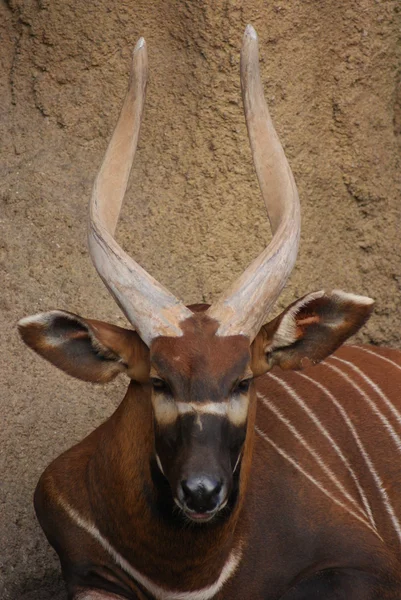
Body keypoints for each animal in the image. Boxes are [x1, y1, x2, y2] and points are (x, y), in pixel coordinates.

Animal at [18, 25, 400, 596]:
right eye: (158, 381)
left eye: (243, 381)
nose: (202, 491)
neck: (184, 575)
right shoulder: (86, 570)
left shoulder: (365, 562)